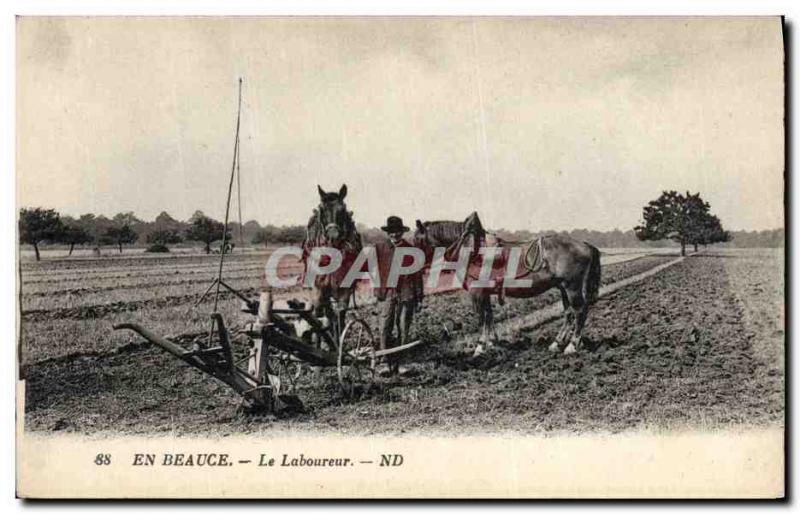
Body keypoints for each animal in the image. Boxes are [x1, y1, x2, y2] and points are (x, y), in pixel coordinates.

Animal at [300, 182, 362, 334]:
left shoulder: (344, 291)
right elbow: (321, 312)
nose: (333, 235)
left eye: (342, 209)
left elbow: (340, 316)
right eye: (322, 210)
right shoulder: (318, 290)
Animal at [418, 212, 600, 352]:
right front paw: (492, 342)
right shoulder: (484, 292)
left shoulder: (476, 292)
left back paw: (572, 345)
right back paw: (557, 343)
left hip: (572, 287)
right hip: (562, 287)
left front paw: (480, 346)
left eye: (417, 239)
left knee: (579, 311)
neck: (471, 250)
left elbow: (482, 319)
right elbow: (489, 316)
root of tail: (585, 245)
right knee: (568, 313)